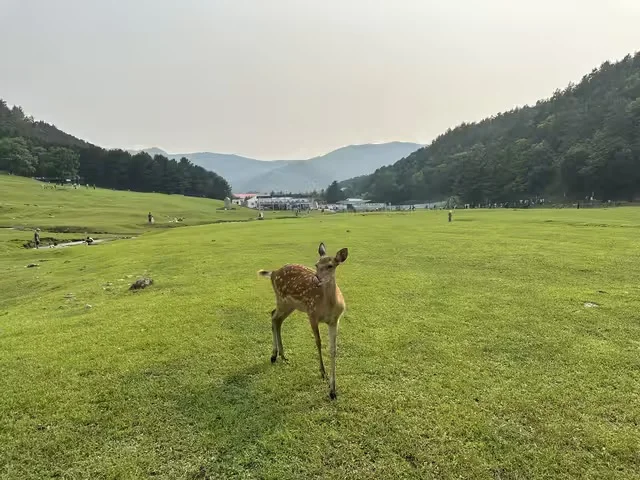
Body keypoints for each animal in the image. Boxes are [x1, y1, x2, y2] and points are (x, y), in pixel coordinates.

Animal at [258, 242, 348, 400]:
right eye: (316, 264)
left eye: (330, 265)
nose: (316, 279)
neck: (328, 306)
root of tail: (273, 273)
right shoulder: (312, 314)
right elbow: (318, 342)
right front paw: (322, 373)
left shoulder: (335, 320)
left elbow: (333, 349)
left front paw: (333, 390)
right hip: (282, 299)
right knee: (274, 316)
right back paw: (274, 355)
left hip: (290, 305)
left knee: (276, 318)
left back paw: (282, 355)